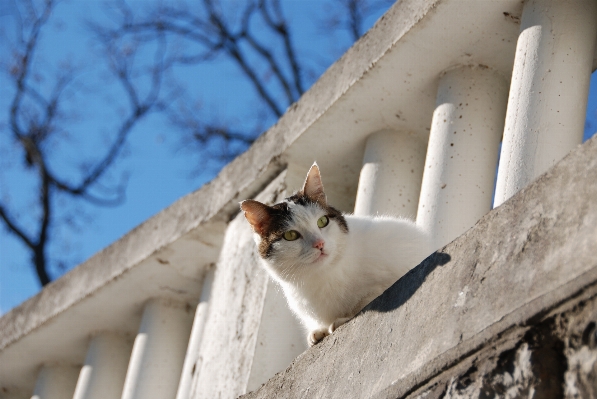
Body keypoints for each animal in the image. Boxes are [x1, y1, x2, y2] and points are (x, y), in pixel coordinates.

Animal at [240, 163, 430, 346]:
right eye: (291, 235)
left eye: (322, 221)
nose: (319, 244)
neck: (322, 276)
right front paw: (319, 331)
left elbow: (370, 296)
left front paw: (341, 319)